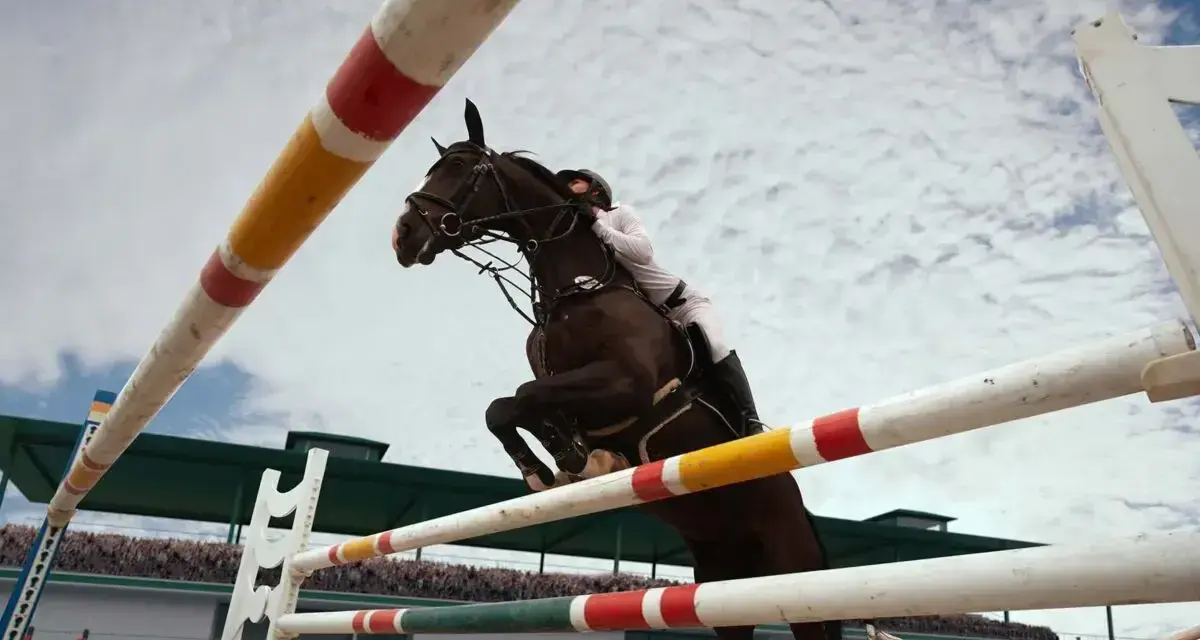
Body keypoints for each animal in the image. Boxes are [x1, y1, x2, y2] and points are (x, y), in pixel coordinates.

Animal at [391, 99, 842, 640]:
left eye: (458, 166)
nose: (403, 235)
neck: (577, 291)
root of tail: (802, 509)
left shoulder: (626, 384)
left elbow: (521, 397)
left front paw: (563, 460)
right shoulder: (562, 384)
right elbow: (507, 407)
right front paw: (559, 461)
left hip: (794, 576)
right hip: (720, 581)